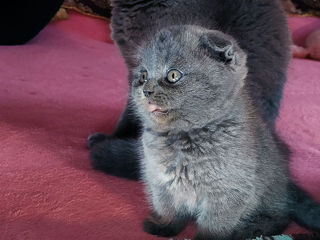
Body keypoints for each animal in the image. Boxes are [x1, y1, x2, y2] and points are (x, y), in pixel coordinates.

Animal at [130, 25, 320, 239]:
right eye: (143, 76)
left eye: (173, 75)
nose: (146, 90)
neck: (184, 138)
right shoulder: (159, 178)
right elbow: (166, 206)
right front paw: (164, 225)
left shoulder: (229, 190)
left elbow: (215, 223)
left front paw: (207, 237)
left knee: (280, 217)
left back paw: (253, 229)